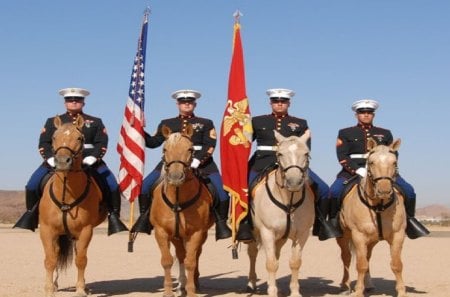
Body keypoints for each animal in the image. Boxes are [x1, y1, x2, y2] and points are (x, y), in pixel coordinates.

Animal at [37, 115, 106, 296]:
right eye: (54, 137)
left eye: (79, 138)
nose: (62, 161)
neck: (67, 196)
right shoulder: (47, 230)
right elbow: (50, 259)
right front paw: (48, 289)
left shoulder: (85, 231)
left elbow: (81, 260)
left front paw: (80, 289)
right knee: (56, 254)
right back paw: (54, 283)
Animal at [150, 123, 214, 296]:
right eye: (165, 149)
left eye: (190, 149)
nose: (176, 177)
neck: (178, 200)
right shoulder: (161, 232)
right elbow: (167, 261)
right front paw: (168, 291)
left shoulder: (196, 233)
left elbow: (191, 261)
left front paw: (191, 291)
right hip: (177, 236)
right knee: (180, 255)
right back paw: (181, 285)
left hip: (201, 234)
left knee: (195, 255)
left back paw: (194, 283)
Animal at [244, 130, 314, 296]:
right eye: (280, 153)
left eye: (306, 153)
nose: (294, 182)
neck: (288, 201)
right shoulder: (267, 232)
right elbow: (270, 263)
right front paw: (272, 291)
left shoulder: (302, 234)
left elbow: (295, 263)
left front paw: (294, 292)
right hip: (254, 232)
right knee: (253, 254)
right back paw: (251, 283)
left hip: (281, 238)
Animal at [336, 137, 406, 296]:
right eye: (372, 162)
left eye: (394, 162)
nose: (384, 190)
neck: (378, 206)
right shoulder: (358, 236)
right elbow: (360, 265)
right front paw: (358, 291)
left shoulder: (398, 235)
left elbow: (397, 264)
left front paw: (402, 291)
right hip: (343, 236)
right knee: (346, 257)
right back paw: (345, 285)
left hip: (372, 240)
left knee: (367, 257)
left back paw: (368, 284)